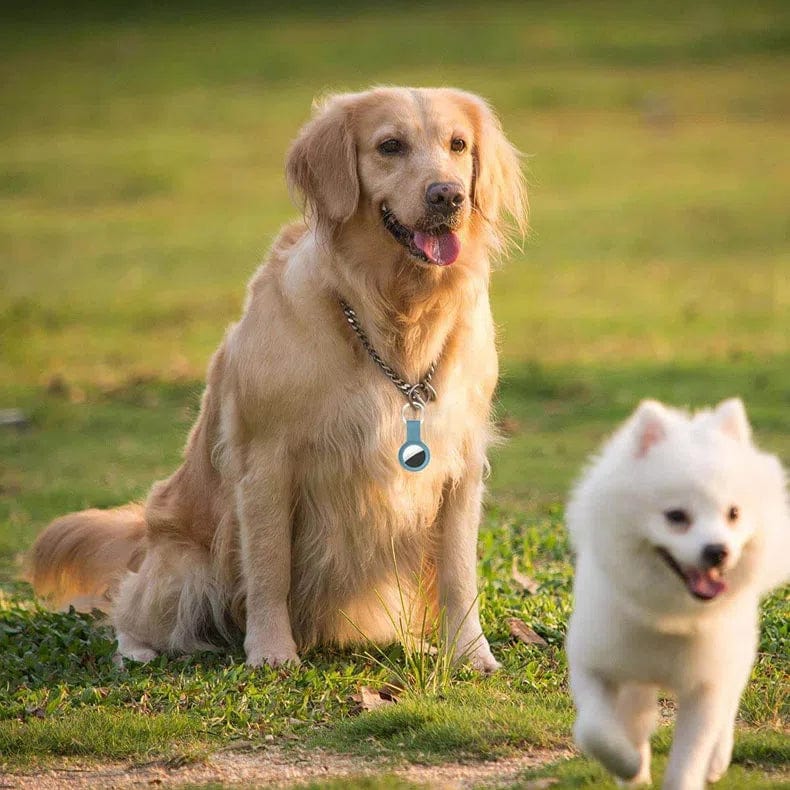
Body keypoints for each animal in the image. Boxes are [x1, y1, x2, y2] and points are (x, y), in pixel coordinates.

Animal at [568, 402, 790, 790]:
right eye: (676, 516)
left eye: (733, 514)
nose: (718, 551)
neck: (670, 617)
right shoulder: (593, 662)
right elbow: (596, 731)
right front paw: (628, 764)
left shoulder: (706, 685)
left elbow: (691, 756)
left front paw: (690, 767)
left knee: (728, 709)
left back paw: (717, 760)